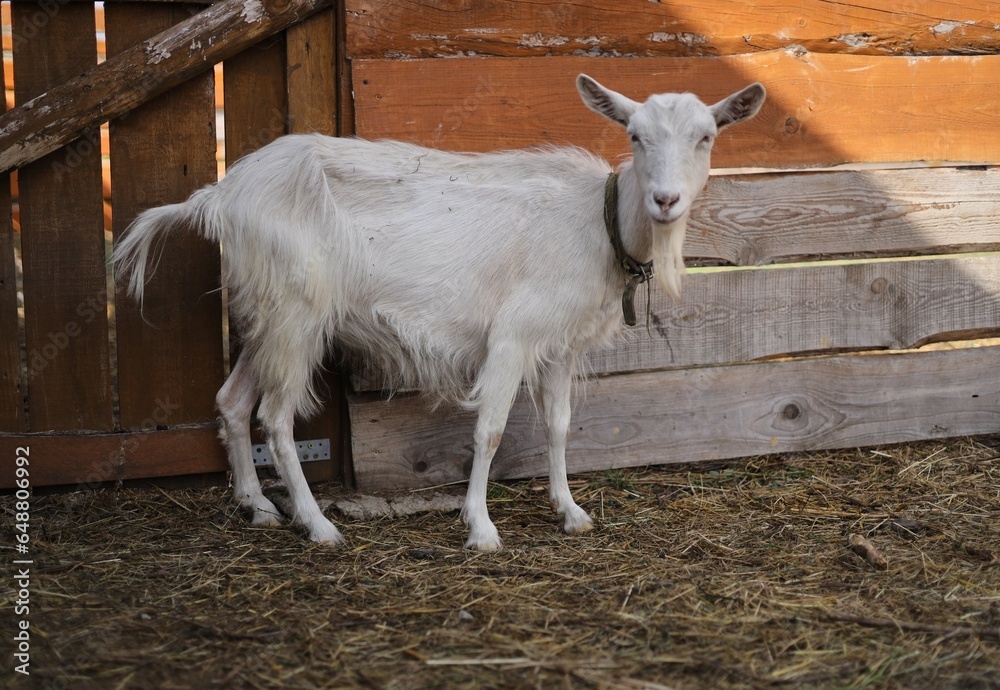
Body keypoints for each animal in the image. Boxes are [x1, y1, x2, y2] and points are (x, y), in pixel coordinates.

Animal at [113, 74, 765, 551]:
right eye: (633, 134)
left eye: (706, 137)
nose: (665, 199)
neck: (596, 222)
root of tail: (220, 195)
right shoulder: (512, 337)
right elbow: (490, 430)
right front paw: (481, 528)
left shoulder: (561, 344)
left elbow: (558, 425)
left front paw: (571, 511)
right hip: (298, 311)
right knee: (275, 418)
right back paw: (318, 526)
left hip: (268, 314)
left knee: (232, 400)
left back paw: (257, 507)